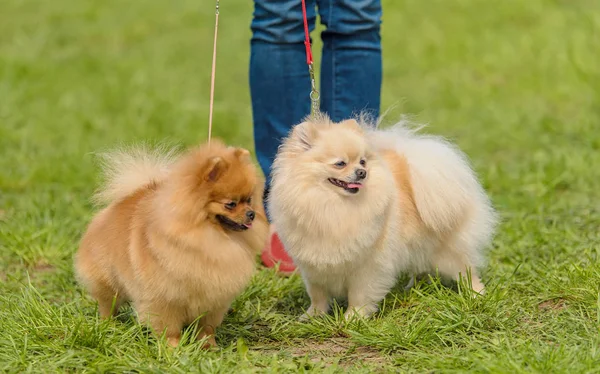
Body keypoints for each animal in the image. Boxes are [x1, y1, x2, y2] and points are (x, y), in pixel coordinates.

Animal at [75, 140, 270, 348]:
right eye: (231, 204)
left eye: (249, 200)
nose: (251, 214)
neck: (208, 238)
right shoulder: (164, 298)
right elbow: (169, 328)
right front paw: (173, 347)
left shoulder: (213, 299)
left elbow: (206, 327)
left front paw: (209, 346)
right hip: (106, 281)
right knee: (107, 304)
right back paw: (108, 325)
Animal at [268, 113, 496, 318]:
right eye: (340, 163)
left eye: (362, 162)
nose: (362, 172)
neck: (332, 206)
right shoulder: (314, 268)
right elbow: (318, 295)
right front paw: (313, 316)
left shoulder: (367, 266)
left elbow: (359, 296)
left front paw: (352, 319)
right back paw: (414, 287)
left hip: (448, 251)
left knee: (467, 272)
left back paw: (476, 295)